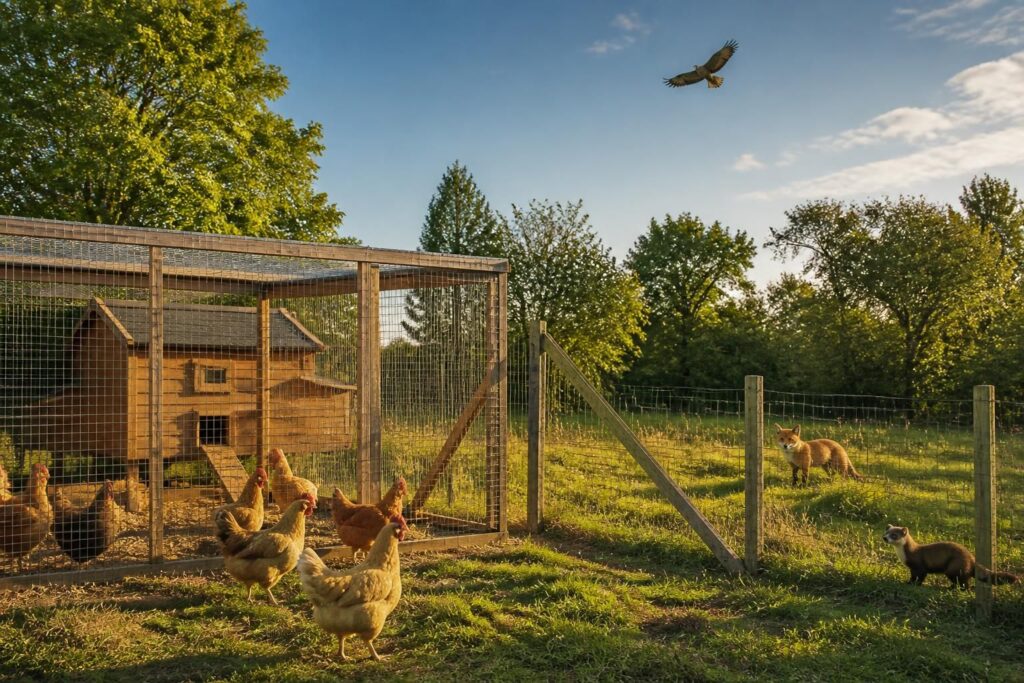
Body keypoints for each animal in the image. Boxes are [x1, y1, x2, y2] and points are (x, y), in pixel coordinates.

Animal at [883, 524, 1018, 589]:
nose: (884, 538)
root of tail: (972, 557)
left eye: (894, 535)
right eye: (886, 532)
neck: (905, 555)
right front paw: (908, 582)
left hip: (954, 567)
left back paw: (952, 588)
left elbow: (920, 577)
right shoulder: (912, 568)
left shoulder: (919, 566)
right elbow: (913, 577)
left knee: (964, 583)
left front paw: (913, 584)